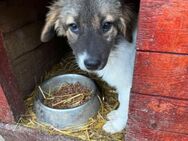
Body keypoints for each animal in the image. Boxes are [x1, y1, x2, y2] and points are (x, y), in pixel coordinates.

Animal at [40, 0, 139, 134]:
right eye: (73, 26)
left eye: (106, 25)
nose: (92, 64)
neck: (115, 50)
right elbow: (121, 101)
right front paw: (116, 115)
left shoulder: (128, 85)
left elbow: (126, 104)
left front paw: (117, 125)